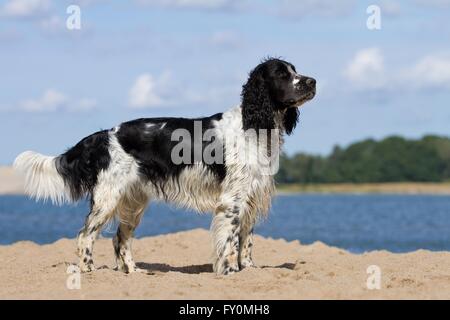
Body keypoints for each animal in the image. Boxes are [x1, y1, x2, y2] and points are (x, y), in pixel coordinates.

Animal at [14, 58, 316, 276]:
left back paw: (133, 272)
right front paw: (230, 271)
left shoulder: (250, 196)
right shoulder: (232, 200)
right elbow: (230, 241)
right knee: (85, 235)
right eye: (282, 74)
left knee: (120, 238)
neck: (254, 125)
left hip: (133, 201)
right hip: (108, 197)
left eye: (295, 70)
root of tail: (104, 134)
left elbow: (247, 241)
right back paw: (89, 271)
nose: (313, 81)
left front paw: (250, 270)